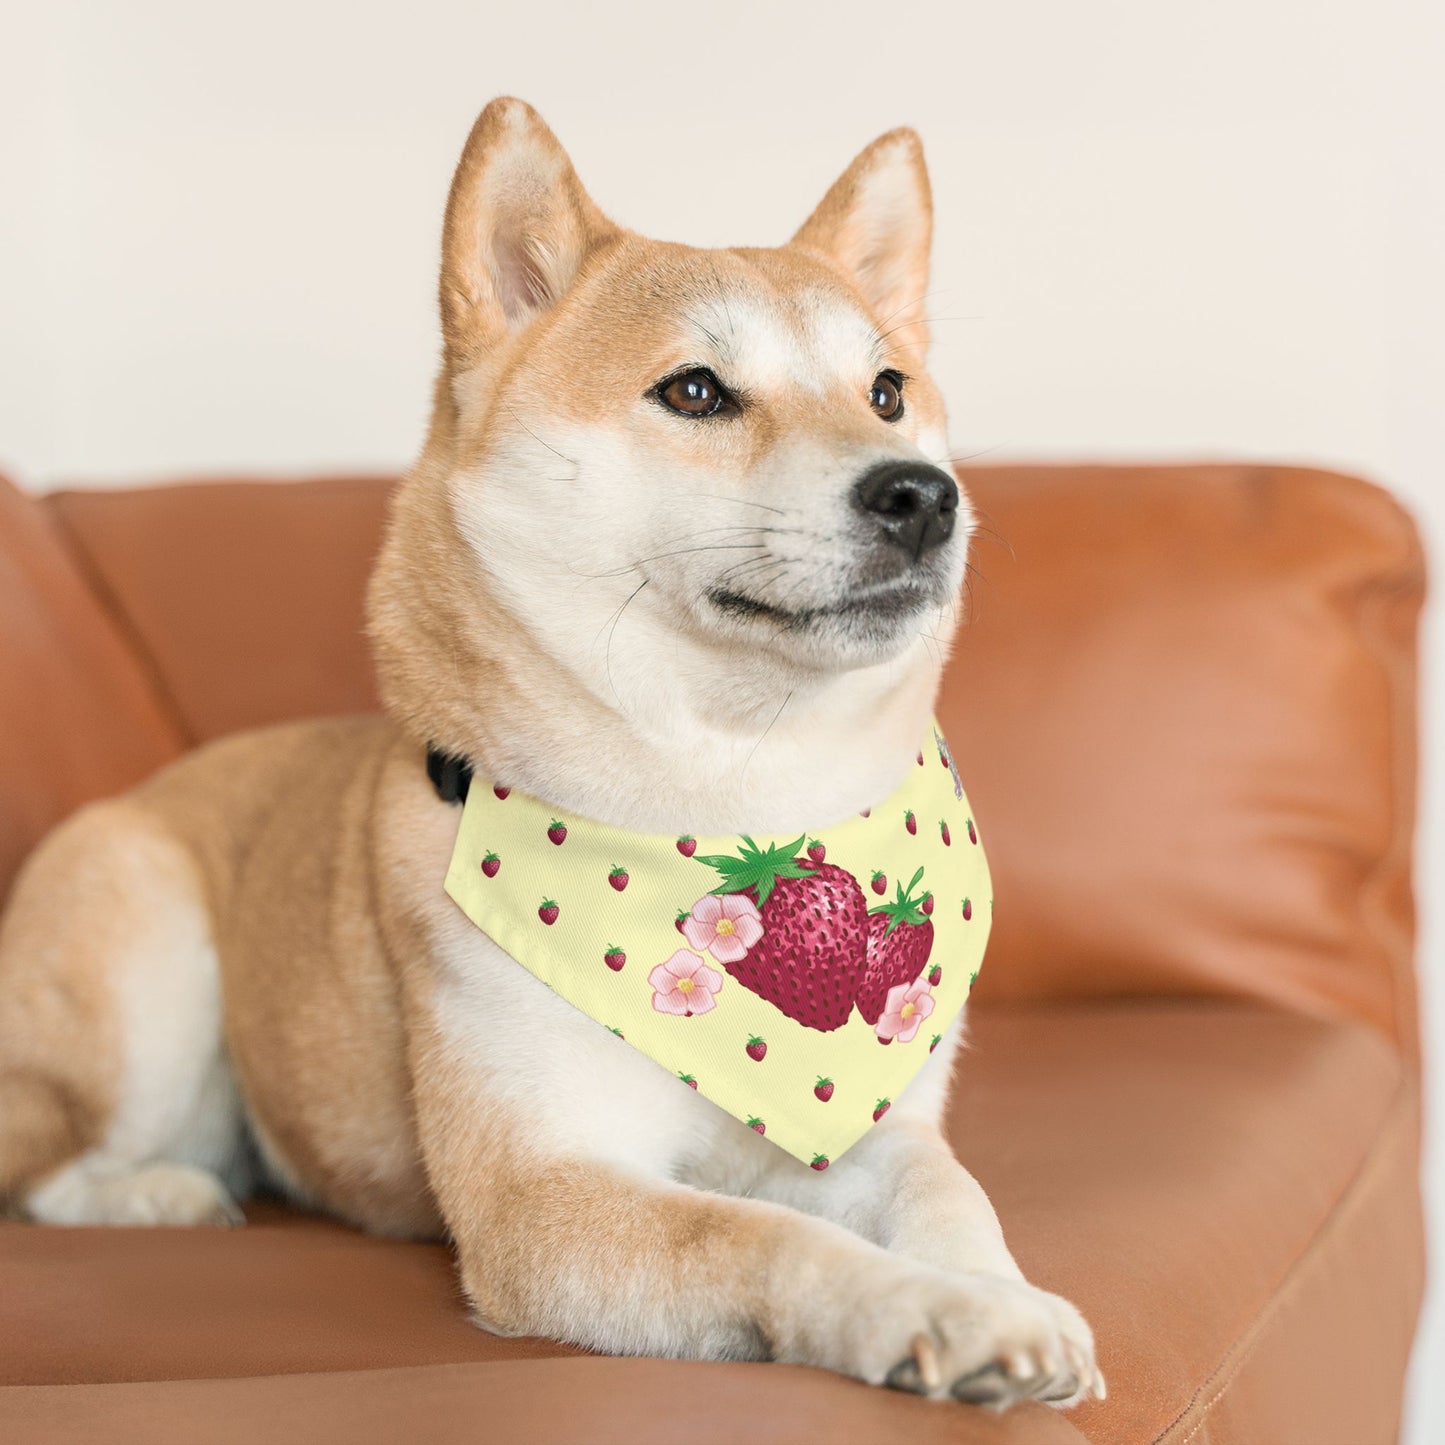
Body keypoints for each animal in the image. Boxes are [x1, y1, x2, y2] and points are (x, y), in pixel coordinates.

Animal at [0, 96, 1098, 1404]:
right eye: (694, 390)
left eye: (886, 390)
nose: (923, 494)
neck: (734, 804)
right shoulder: (541, 1194)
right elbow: (765, 1235)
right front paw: (927, 1307)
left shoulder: (876, 1122)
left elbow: (948, 1190)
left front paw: (1002, 1293)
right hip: (145, 962)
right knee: (48, 1164)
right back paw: (162, 1191)